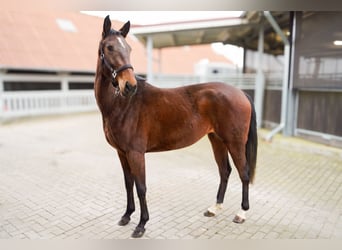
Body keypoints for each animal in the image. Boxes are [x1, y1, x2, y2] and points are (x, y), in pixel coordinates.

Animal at [93, 15, 256, 238]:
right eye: (109, 47)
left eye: (129, 48)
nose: (130, 86)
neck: (122, 104)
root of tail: (241, 93)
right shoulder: (122, 152)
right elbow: (128, 183)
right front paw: (126, 216)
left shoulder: (136, 153)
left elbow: (141, 187)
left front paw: (141, 224)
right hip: (217, 139)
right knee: (225, 171)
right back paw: (214, 208)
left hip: (235, 142)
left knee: (244, 172)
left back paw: (241, 213)